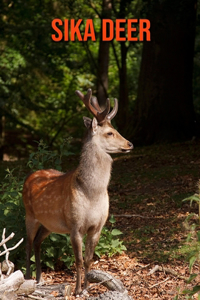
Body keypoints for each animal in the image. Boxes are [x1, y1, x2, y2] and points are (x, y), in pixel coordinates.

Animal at [22, 88, 134, 294]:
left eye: (116, 130)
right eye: (110, 133)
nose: (130, 144)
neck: (92, 193)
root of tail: (30, 176)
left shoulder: (97, 226)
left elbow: (89, 259)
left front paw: (87, 288)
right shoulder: (75, 225)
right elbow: (79, 260)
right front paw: (76, 290)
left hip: (50, 223)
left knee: (38, 242)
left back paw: (40, 278)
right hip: (29, 214)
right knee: (27, 243)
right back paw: (27, 278)